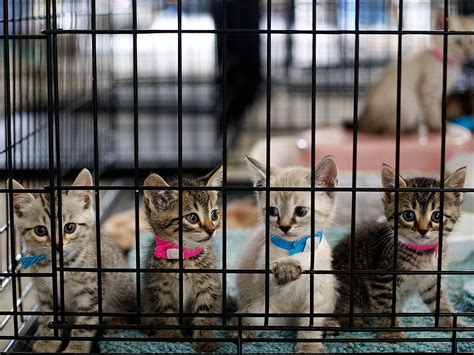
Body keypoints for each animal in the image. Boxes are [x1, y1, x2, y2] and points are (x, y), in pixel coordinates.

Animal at [11, 169, 136, 354]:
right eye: (40, 230)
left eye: (69, 227)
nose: (57, 245)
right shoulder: (45, 292)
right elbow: (48, 316)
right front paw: (47, 341)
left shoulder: (91, 292)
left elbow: (85, 323)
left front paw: (76, 348)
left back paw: (115, 324)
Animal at [142, 166, 223, 354]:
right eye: (192, 218)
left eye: (214, 214)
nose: (211, 230)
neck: (184, 257)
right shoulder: (159, 288)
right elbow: (165, 312)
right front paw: (171, 337)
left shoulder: (208, 285)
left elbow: (205, 311)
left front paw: (206, 340)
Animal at [235, 157, 338, 354]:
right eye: (272, 211)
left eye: (301, 211)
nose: (284, 227)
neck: (295, 247)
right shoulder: (261, 279)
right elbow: (271, 282)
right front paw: (286, 267)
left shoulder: (319, 290)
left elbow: (312, 321)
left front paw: (309, 346)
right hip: (257, 310)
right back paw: (242, 332)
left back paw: (329, 325)